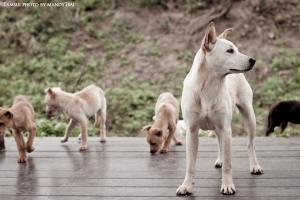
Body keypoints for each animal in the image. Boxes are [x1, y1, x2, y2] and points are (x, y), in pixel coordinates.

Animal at [176, 22, 262, 195]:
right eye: (230, 51)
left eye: (236, 49)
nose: (253, 60)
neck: (209, 86)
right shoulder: (192, 131)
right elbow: (190, 164)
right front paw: (187, 186)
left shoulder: (226, 128)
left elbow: (229, 163)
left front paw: (227, 184)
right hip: (217, 126)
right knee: (220, 143)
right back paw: (220, 159)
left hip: (249, 116)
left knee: (250, 144)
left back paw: (255, 165)